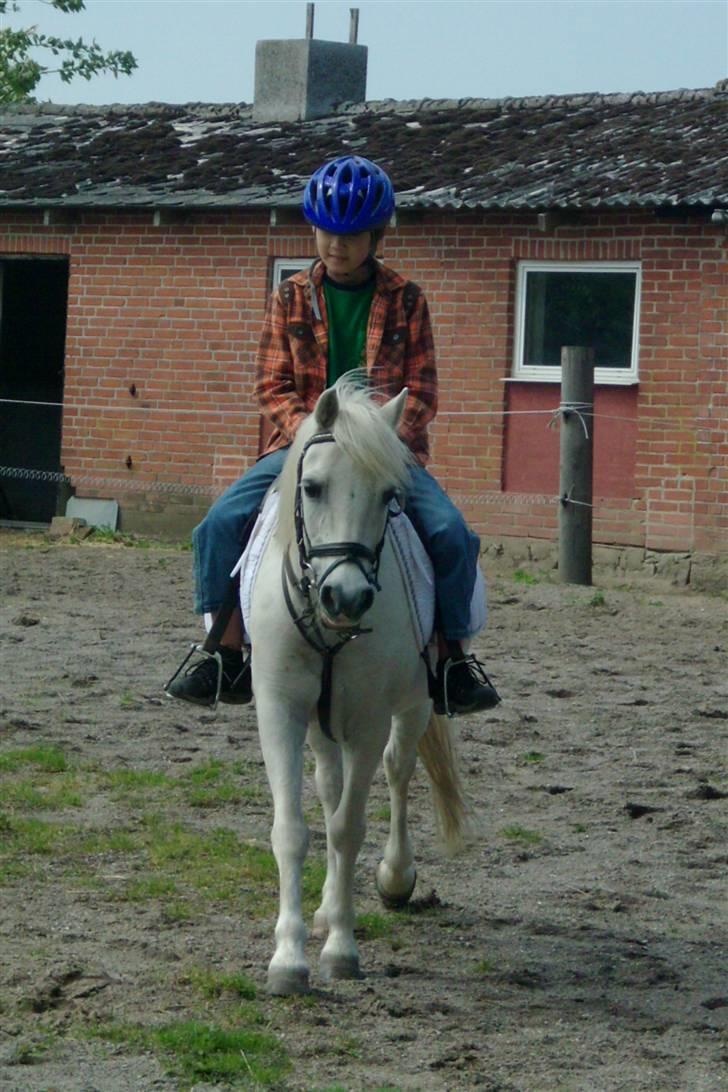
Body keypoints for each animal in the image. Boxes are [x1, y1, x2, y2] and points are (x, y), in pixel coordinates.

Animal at [246, 377, 467, 1000]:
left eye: (390, 495)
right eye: (313, 487)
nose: (346, 597)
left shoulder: (368, 719)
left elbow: (348, 828)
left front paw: (341, 950)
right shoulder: (280, 713)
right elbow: (293, 830)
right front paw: (289, 958)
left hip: (413, 705)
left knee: (397, 770)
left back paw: (395, 877)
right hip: (324, 724)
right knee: (329, 787)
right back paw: (323, 908)